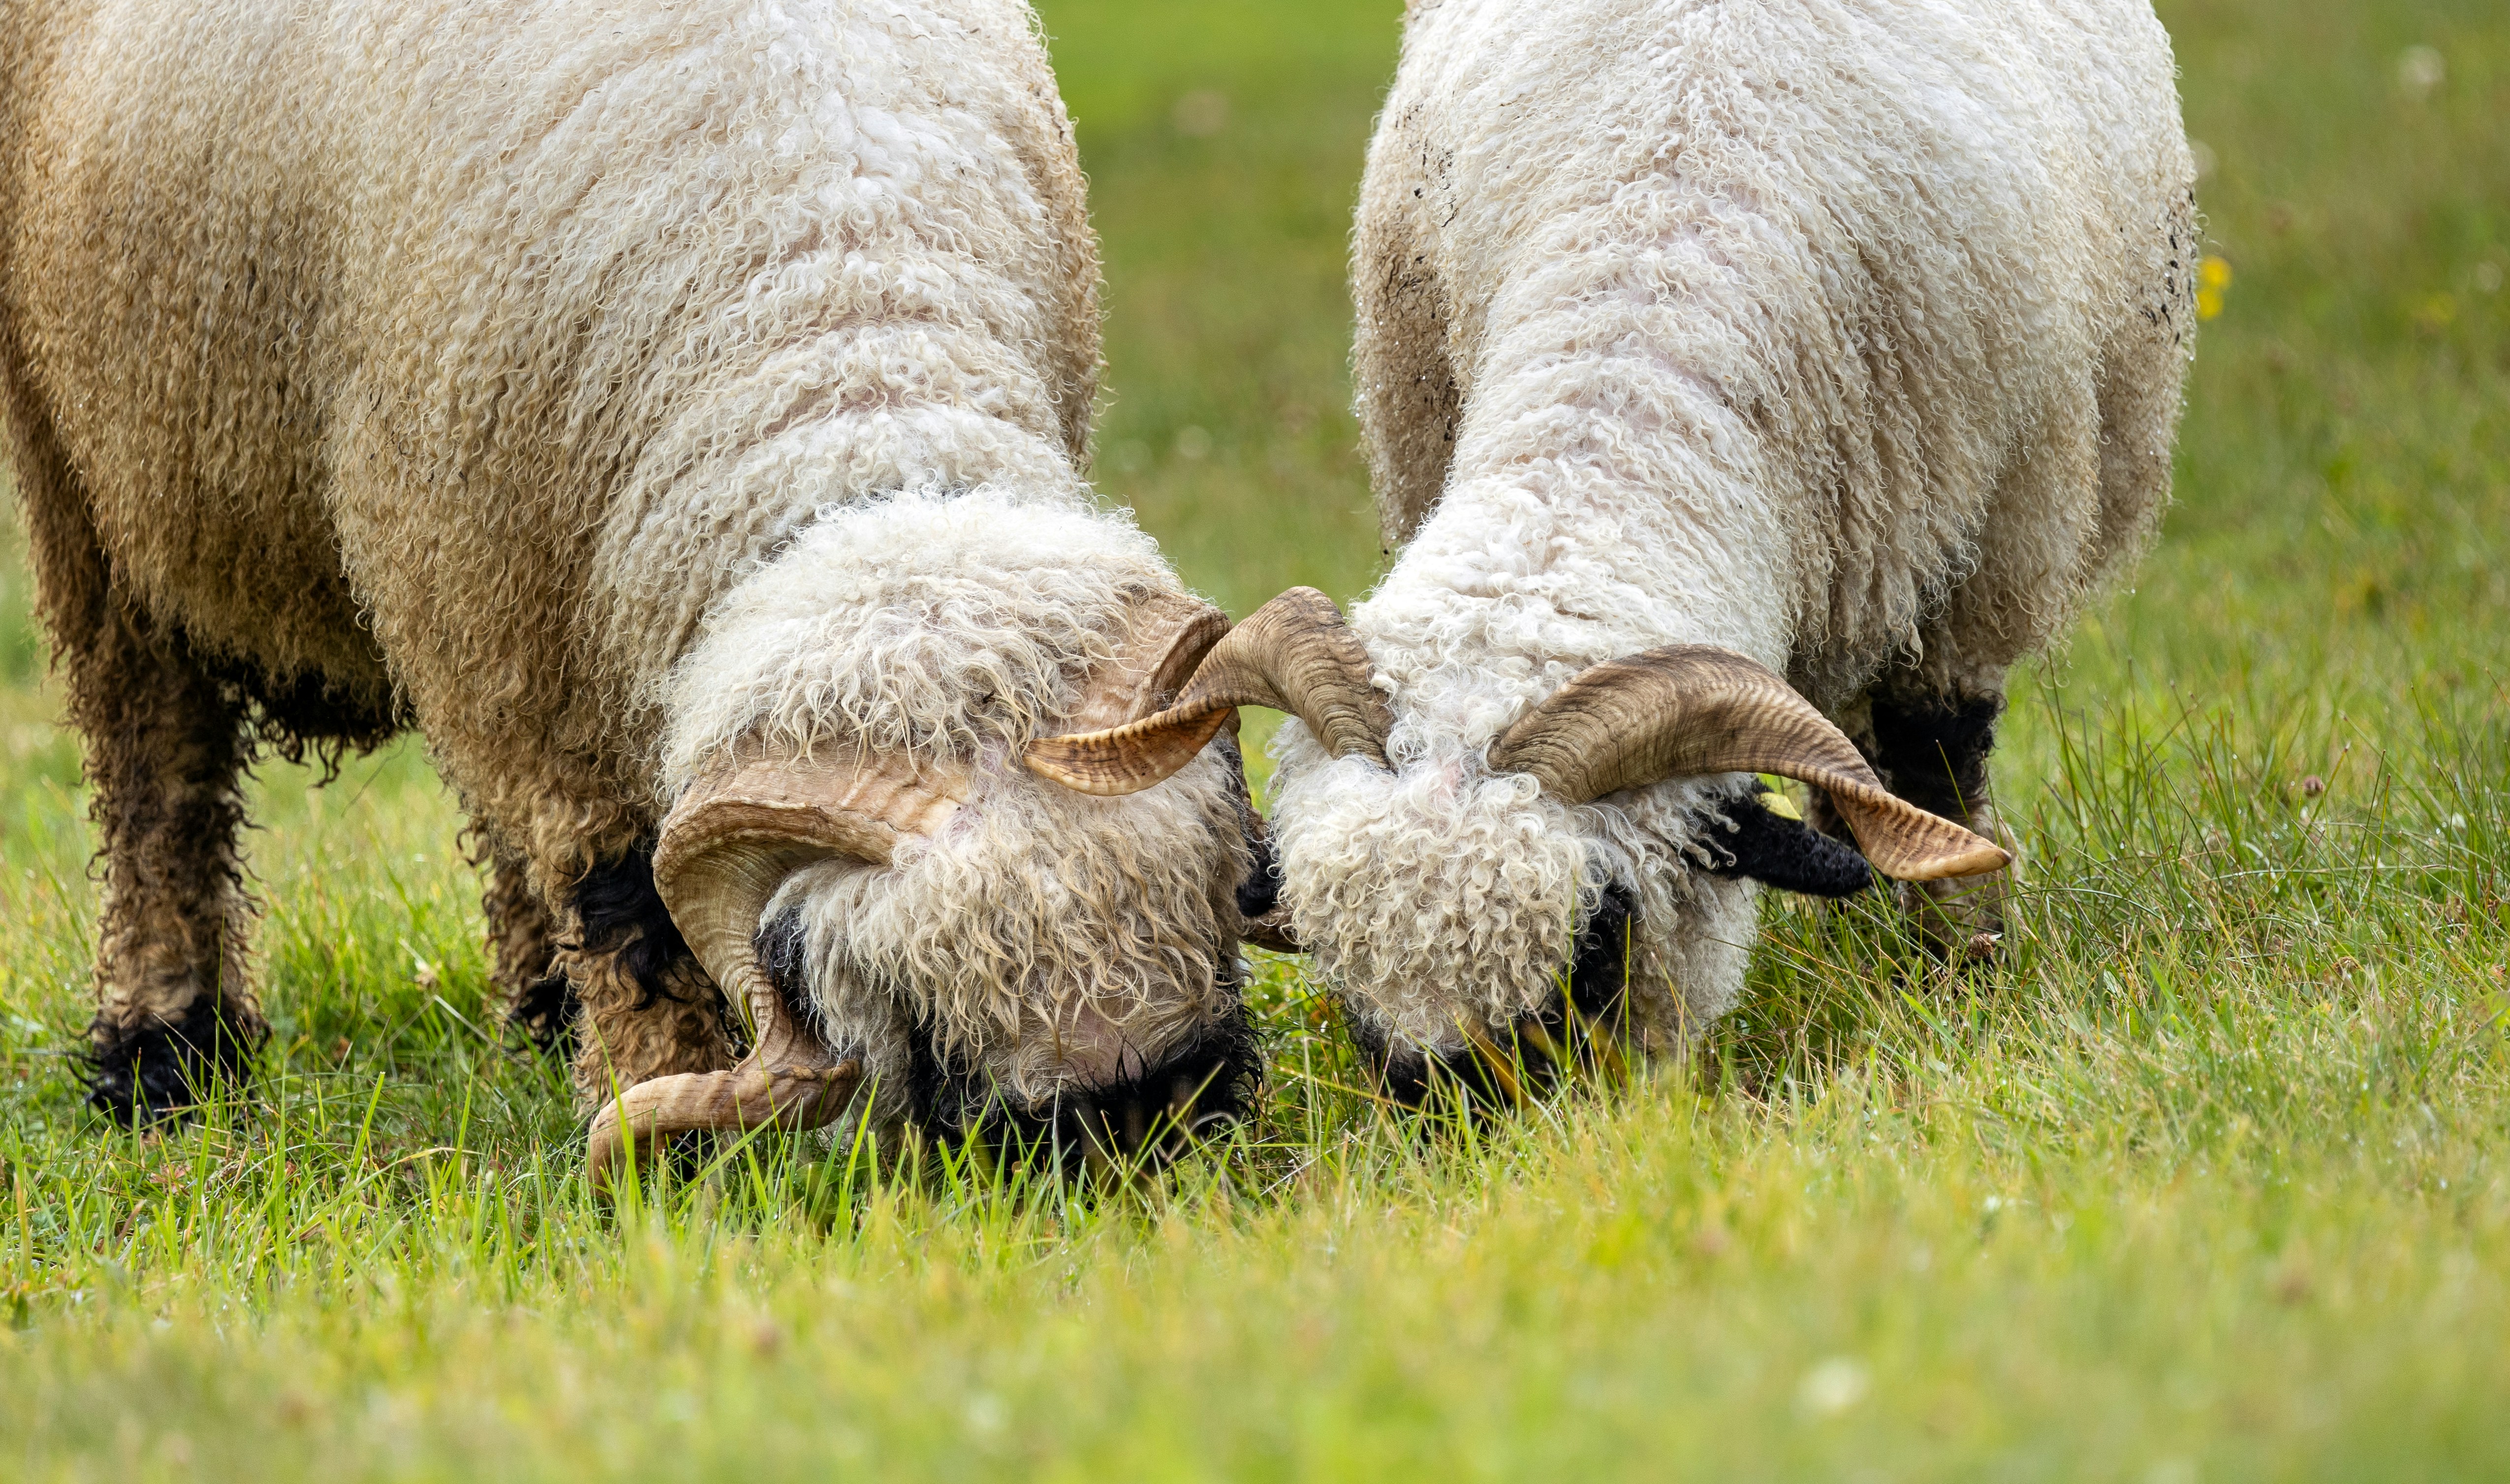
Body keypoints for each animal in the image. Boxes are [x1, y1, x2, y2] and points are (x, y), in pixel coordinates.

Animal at [0, 0, 1279, 1173]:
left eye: (1219, 889)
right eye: (919, 1010)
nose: (1140, 1118)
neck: (835, 343)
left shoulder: (516, 608)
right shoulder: (517, 645)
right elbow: (624, 907)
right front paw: (668, 1158)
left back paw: (534, 1013)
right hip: (85, 474)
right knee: (155, 767)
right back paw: (163, 1052)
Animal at [1040, 0, 2195, 1096]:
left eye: (1601, 933)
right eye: (1337, 954)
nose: (1456, 1122)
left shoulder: (1985, 567)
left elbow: (1937, 773)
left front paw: (1960, 964)